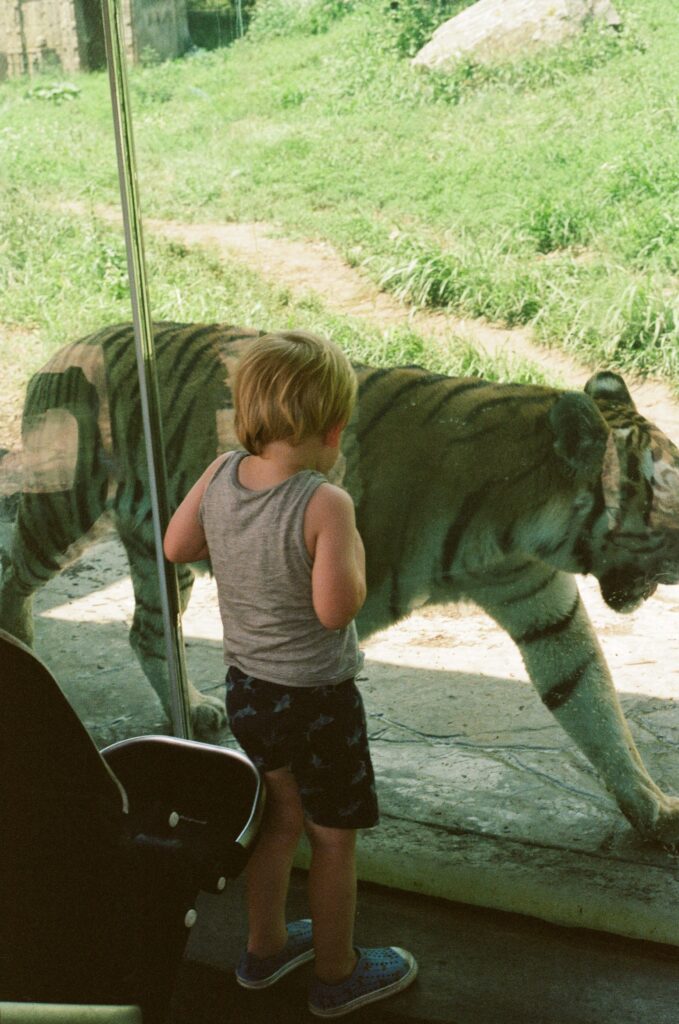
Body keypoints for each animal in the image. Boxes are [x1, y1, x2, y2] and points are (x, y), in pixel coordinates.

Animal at [1, 323, 679, 843]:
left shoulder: (540, 604)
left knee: (145, 631)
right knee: (15, 573)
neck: (521, 528)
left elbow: (591, 700)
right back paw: (25, 655)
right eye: (669, 494)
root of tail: (66, 347)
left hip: (162, 547)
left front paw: (652, 808)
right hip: (62, 509)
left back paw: (191, 710)